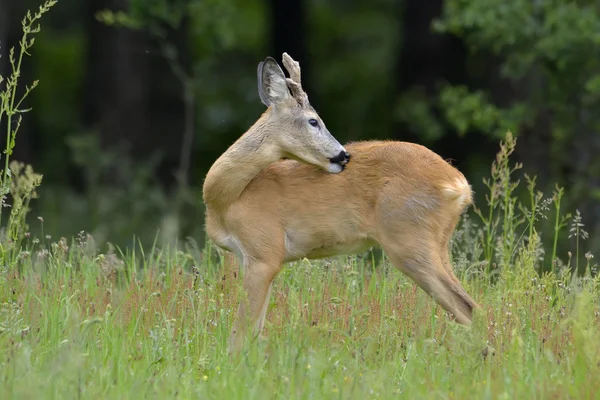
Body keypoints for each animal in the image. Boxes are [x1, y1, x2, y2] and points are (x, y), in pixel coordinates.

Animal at [204, 52, 480, 354]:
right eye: (314, 121)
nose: (343, 155)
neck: (228, 198)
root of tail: (459, 184)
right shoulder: (250, 257)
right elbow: (255, 330)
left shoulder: (265, 251)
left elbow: (240, 333)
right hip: (438, 242)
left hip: (409, 238)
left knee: (465, 305)